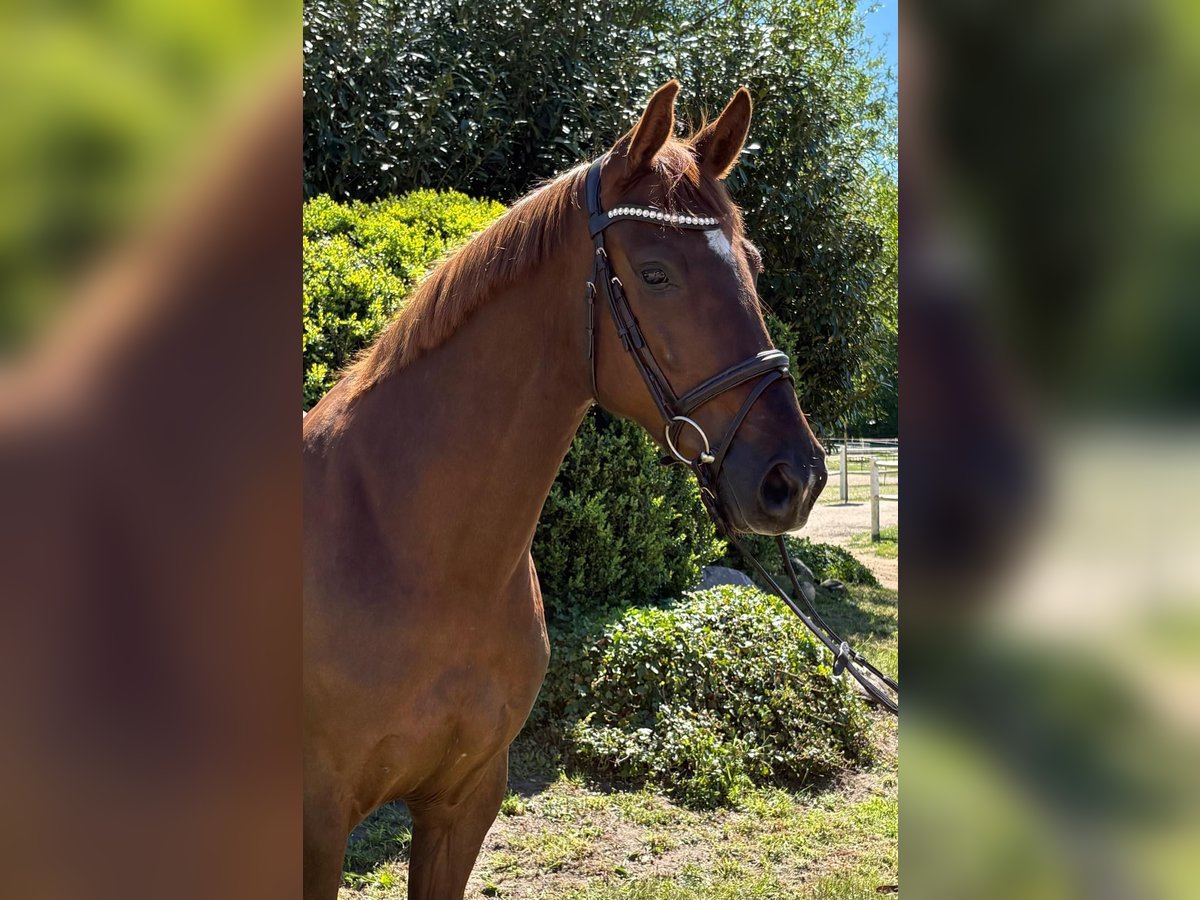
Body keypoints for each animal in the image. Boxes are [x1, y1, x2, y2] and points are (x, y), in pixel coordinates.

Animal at [302, 80, 828, 899]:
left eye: (752, 261)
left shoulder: (465, 799)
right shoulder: (317, 825)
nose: (793, 479)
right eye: (655, 272)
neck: (411, 552)